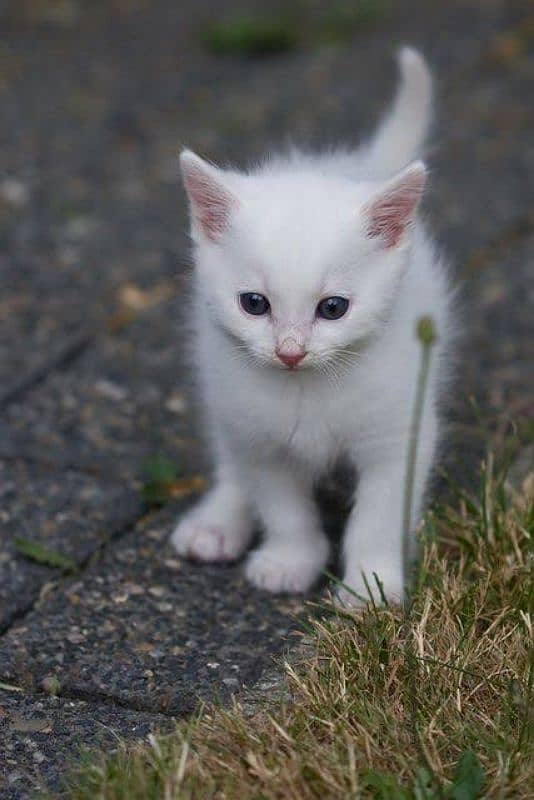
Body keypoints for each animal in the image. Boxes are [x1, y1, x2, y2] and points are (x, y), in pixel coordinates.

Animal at [174, 47, 454, 604]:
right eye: (254, 304)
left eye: (333, 308)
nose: (290, 350)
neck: (307, 389)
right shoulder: (260, 439)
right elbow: (283, 509)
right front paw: (290, 561)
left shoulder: (397, 436)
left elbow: (377, 518)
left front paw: (369, 588)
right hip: (224, 388)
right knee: (230, 454)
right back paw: (217, 522)